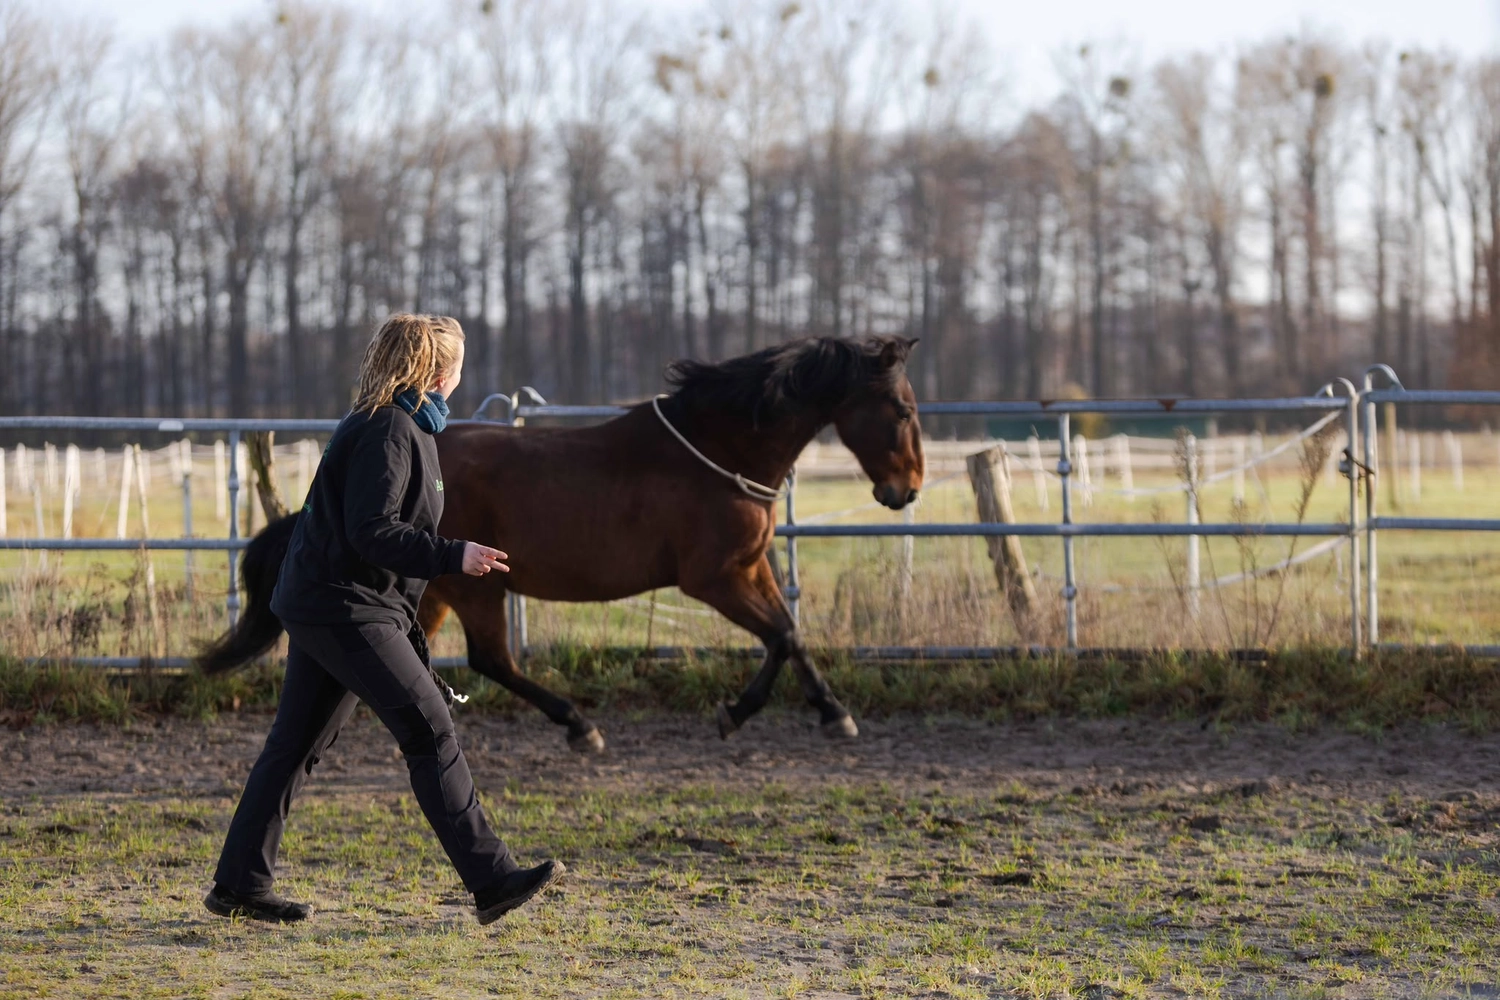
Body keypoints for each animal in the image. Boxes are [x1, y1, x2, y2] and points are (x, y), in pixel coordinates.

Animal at [198, 335, 925, 752]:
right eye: (903, 409)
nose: (907, 489)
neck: (718, 452)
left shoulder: (752, 567)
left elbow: (791, 634)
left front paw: (831, 712)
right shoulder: (714, 579)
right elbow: (779, 635)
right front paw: (739, 714)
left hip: (436, 591)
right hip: (473, 585)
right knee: (491, 660)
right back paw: (580, 726)